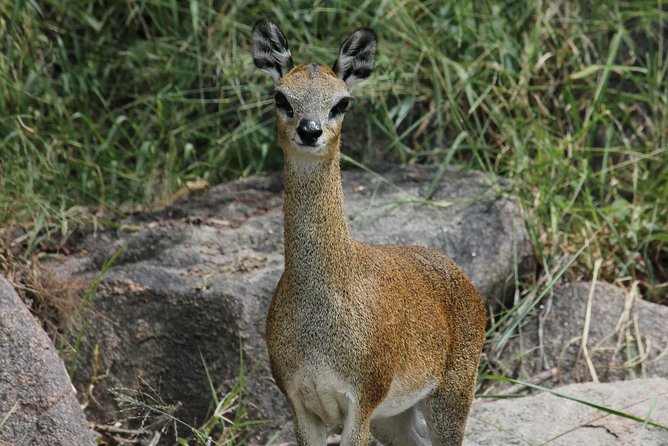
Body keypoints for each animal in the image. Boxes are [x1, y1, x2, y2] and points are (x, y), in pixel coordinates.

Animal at [250, 19, 486, 444]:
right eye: (281, 97)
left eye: (341, 102)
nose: (309, 130)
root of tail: (463, 278)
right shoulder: (299, 403)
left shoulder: (362, 401)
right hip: (394, 416)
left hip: (452, 394)